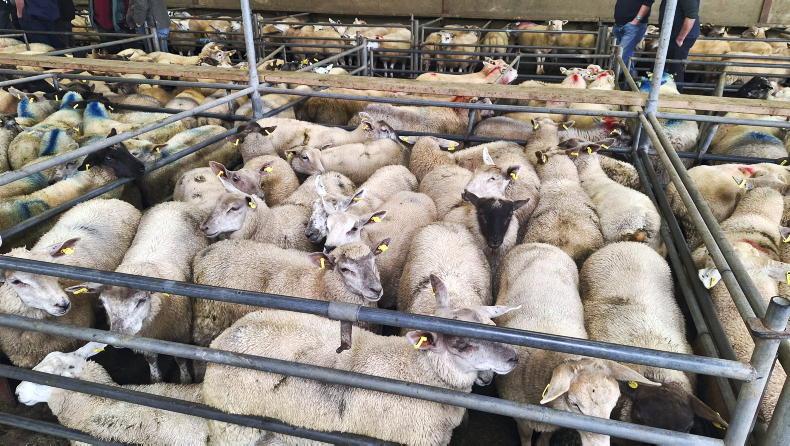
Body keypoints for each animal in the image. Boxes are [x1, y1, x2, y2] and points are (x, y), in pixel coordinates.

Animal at [70, 202, 207, 383]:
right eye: (104, 303)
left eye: (141, 301)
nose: (118, 338)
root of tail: (172, 203)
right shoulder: (144, 340)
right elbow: (151, 360)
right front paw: (156, 381)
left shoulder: (180, 333)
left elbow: (180, 359)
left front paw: (185, 380)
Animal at [191, 237, 387, 347]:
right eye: (345, 269)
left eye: (374, 261)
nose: (376, 289)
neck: (321, 283)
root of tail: (203, 253)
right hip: (209, 320)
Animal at [202, 294, 519, 446]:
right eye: (462, 344)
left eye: (491, 326)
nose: (514, 358)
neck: (419, 374)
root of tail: (222, 339)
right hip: (233, 428)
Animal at [497, 243, 659, 445]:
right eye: (575, 404)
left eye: (613, 404)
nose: (599, 445)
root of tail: (540, 245)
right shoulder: (522, 420)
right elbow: (526, 439)